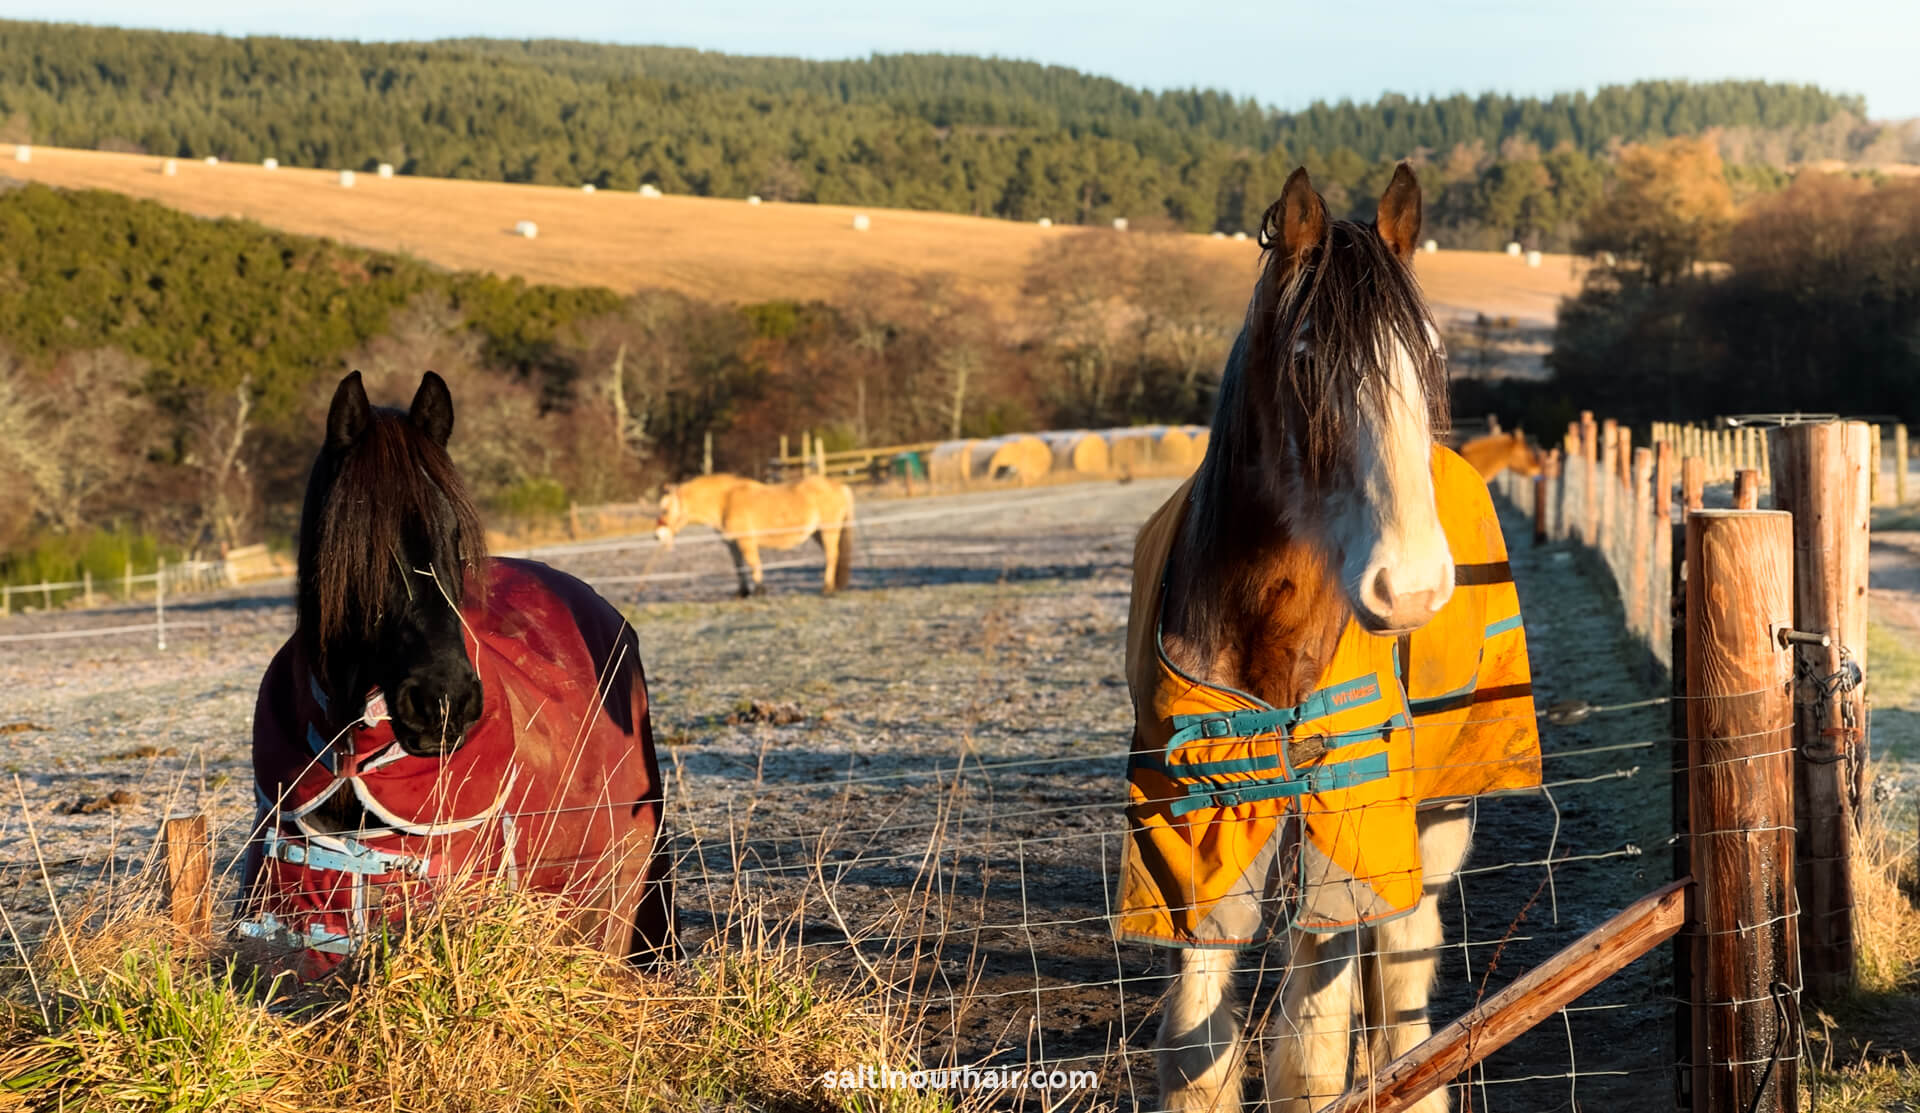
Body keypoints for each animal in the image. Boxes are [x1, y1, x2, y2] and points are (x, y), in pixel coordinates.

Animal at [652, 477, 856, 598]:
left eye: (665, 510)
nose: (657, 536)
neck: (725, 501)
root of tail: (840, 486)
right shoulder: (732, 544)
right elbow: (739, 567)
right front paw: (742, 592)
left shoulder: (746, 542)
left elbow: (753, 564)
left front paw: (759, 591)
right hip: (818, 534)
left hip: (829, 531)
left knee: (832, 556)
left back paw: (827, 588)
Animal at [1113, 166, 1543, 1113]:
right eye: (1307, 360)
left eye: (1430, 357)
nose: (1410, 586)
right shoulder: (1194, 826)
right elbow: (1196, 1050)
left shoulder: (1352, 824)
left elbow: (1312, 1054)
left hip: (1435, 809)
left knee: (1406, 969)